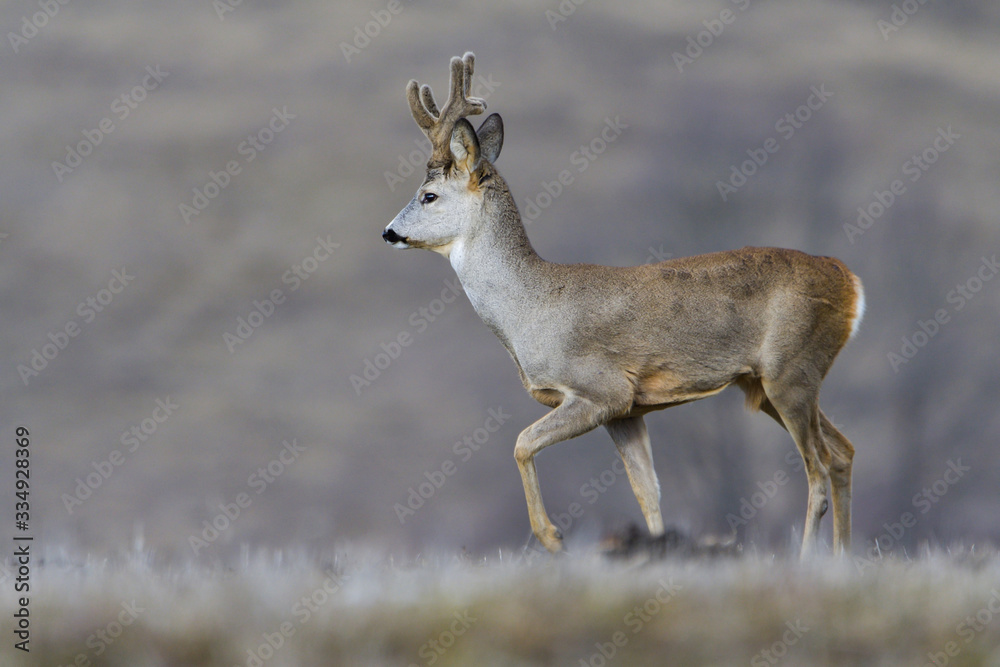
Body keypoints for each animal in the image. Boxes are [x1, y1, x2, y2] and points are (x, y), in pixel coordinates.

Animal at [382, 53, 865, 558]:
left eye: (429, 195)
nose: (388, 232)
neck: (528, 309)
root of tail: (848, 280)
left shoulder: (602, 388)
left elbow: (521, 442)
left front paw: (552, 537)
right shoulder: (629, 410)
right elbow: (647, 491)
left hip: (791, 368)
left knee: (818, 467)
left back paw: (809, 557)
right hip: (770, 382)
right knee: (843, 451)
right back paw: (841, 557)